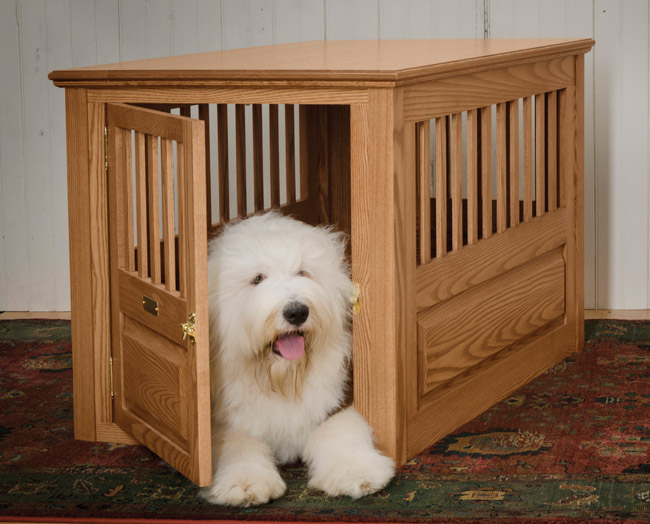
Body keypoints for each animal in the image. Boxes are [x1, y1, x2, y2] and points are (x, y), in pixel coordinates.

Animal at [197, 211, 392, 506]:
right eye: (257, 278)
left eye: (303, 272)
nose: (297, 311)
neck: (284, 376)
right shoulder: (224, 418)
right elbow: (239, 444)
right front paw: (245, 485)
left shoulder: (338, 401)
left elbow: (340, 431)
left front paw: (357, 473)